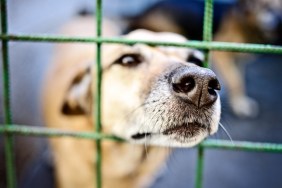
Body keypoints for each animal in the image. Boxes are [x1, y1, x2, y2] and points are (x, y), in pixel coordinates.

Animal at [125, 0, 282, 117]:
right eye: (266, 7)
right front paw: (240, 105)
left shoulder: (238, 61)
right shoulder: (220, 55)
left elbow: (238, 79)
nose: (279, 21)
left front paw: (239, 101)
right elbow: (235, 80)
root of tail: (141, 13)